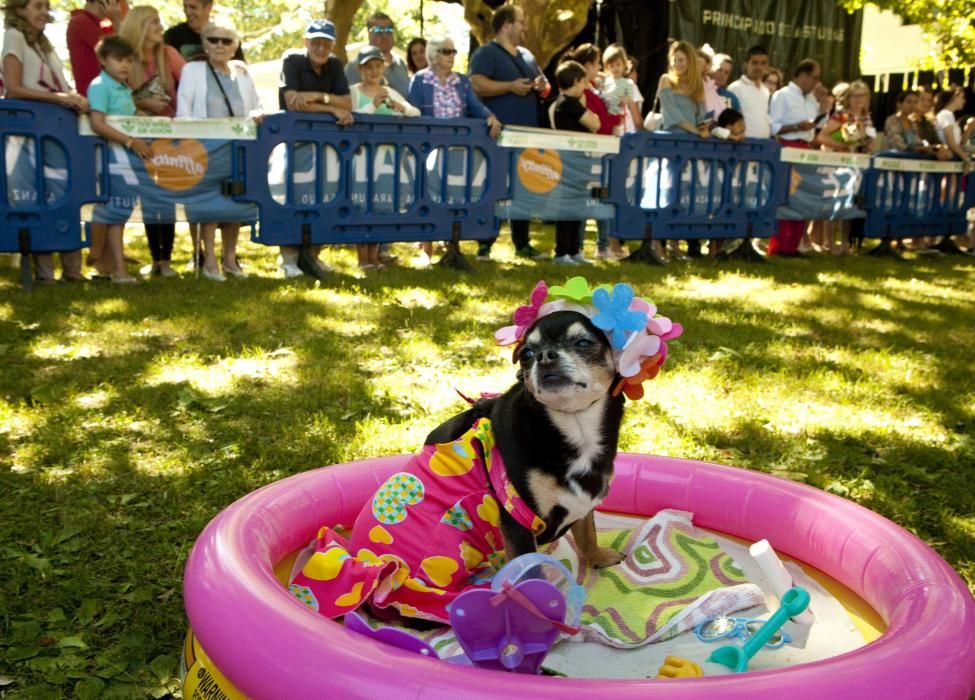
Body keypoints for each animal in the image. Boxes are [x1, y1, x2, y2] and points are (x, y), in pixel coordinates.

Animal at [428, 310, 624, 568]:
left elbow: (587, 534)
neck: (576, 423)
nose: (544, 356)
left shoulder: (583, 501)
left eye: (583, 343)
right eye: (526, 354)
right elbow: (530, 564)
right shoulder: (517, 521)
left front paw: (599, 558)